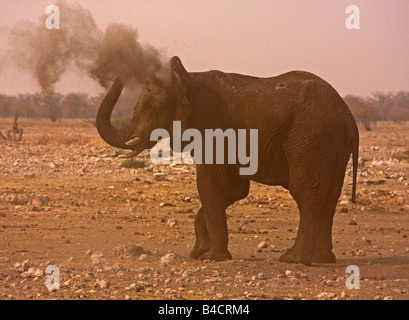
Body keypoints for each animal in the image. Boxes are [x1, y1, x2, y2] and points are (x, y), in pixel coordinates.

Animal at [95, 57, 356, 264]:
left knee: (307, 194)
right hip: (331, 144)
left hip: (310, 139)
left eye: (149, 107)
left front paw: (212, 258)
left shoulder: (212, 128)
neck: (187, 78)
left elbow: (207, 182)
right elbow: (234, 189)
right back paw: (323, 260)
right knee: (330, 197)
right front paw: (197, 252)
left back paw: (293, 259)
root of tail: (349, 116)